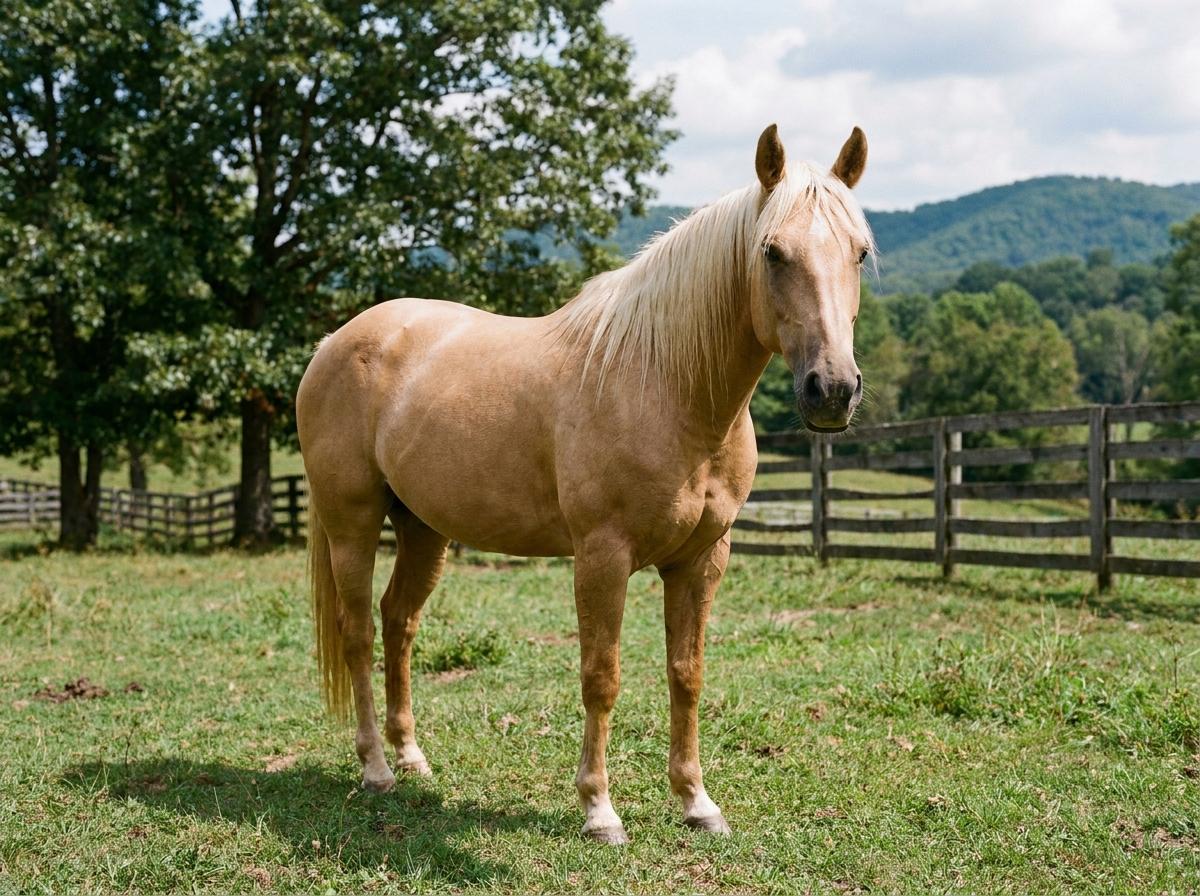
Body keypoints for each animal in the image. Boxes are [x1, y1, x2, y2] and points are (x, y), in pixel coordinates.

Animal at [296, 123, 871, 844]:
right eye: (772, 252)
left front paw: (696, 802)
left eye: (859, 253)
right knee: (358, 635)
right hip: (352, 524)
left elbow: (687, 674)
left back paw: (412, 757)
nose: (833, 391)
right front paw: (600, 810)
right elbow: (602, 676)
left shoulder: (701, 560)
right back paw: (375, 769)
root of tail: (333, 343)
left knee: (398, 622)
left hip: (423, 530)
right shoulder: (602, 556)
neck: (665, 386)